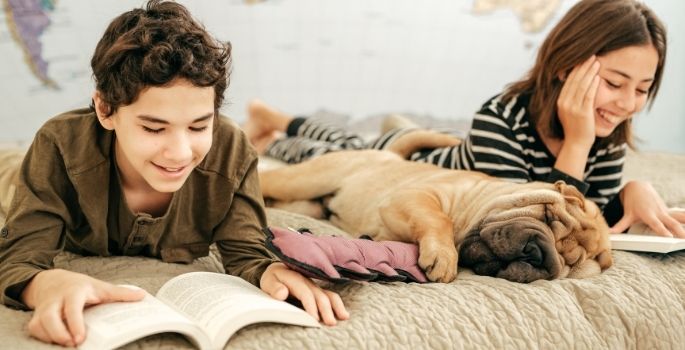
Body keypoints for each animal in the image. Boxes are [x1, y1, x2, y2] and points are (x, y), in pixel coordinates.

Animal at [260, 133, 612, 284]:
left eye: (568, 265)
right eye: (548, 216)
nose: (538, 254)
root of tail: (389, 154)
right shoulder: (416, 196)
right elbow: (437, 218)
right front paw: (443, 256)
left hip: (307, 202)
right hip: (305, 180)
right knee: (269, 178)